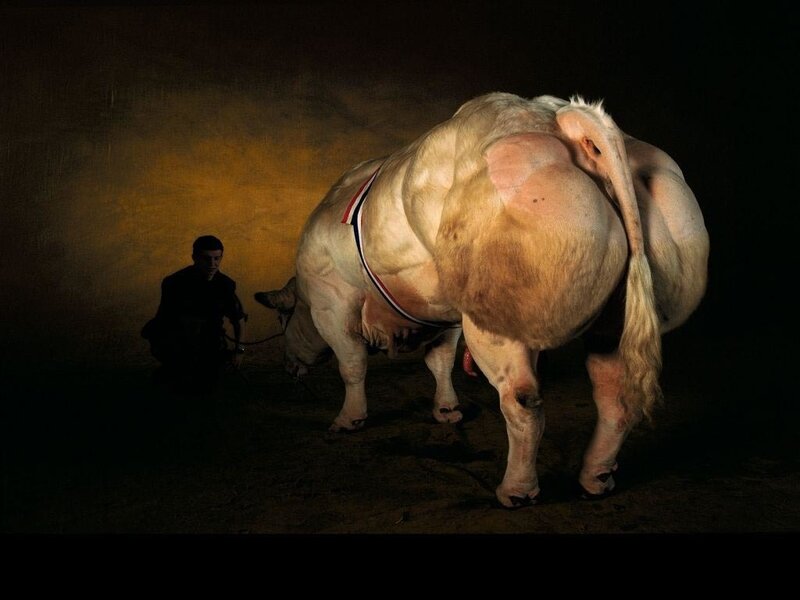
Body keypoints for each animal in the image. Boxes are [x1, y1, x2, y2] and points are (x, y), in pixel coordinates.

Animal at [255, 93, 709, 507]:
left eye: (283, 320)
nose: (288, 367)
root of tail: (559, 117)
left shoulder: (333, 303)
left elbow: (352, 365)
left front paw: (349, 418)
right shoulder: (445, 316)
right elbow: (440, 361)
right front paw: (447, 411)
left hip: (498, 322)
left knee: (523, 402)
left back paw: (516, 490)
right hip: (610, 322)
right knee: (615, 398)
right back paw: (595, 478)